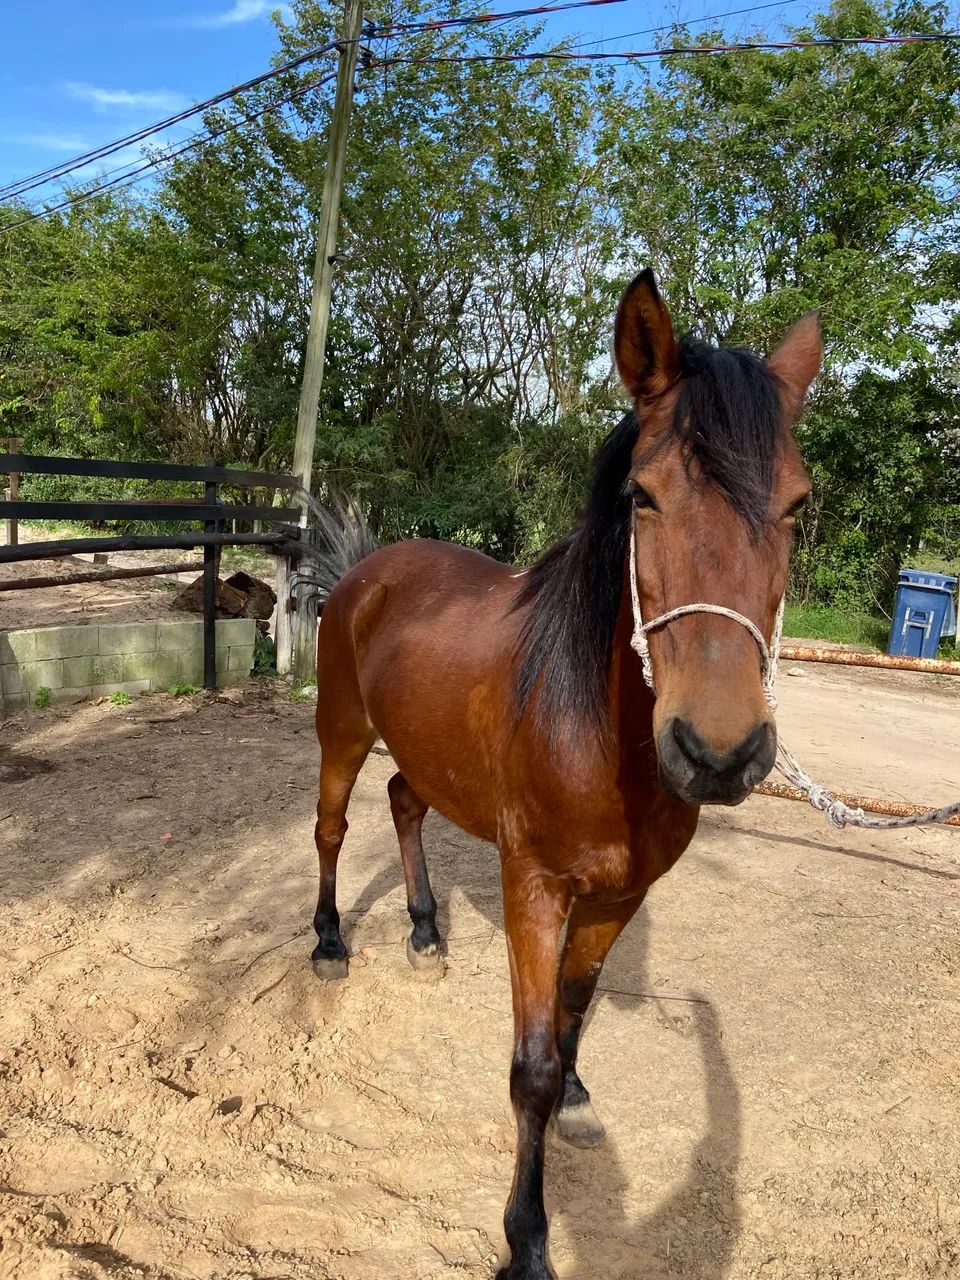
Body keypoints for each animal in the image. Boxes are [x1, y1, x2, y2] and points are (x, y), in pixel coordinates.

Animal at [304, 268, 821, 1279]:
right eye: (644, 496)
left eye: (795, 505)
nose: (719, 753)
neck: (601, 733)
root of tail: (369, 568)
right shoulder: (534, 886)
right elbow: (531, 1067)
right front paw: (527, 1241)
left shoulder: (618, 895)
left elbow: (575, 1020)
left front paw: (579, 1096)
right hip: (341, 733)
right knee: (334, 826)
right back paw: (331, 944)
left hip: (425, 755)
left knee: (404, 804)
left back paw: (423, 932)